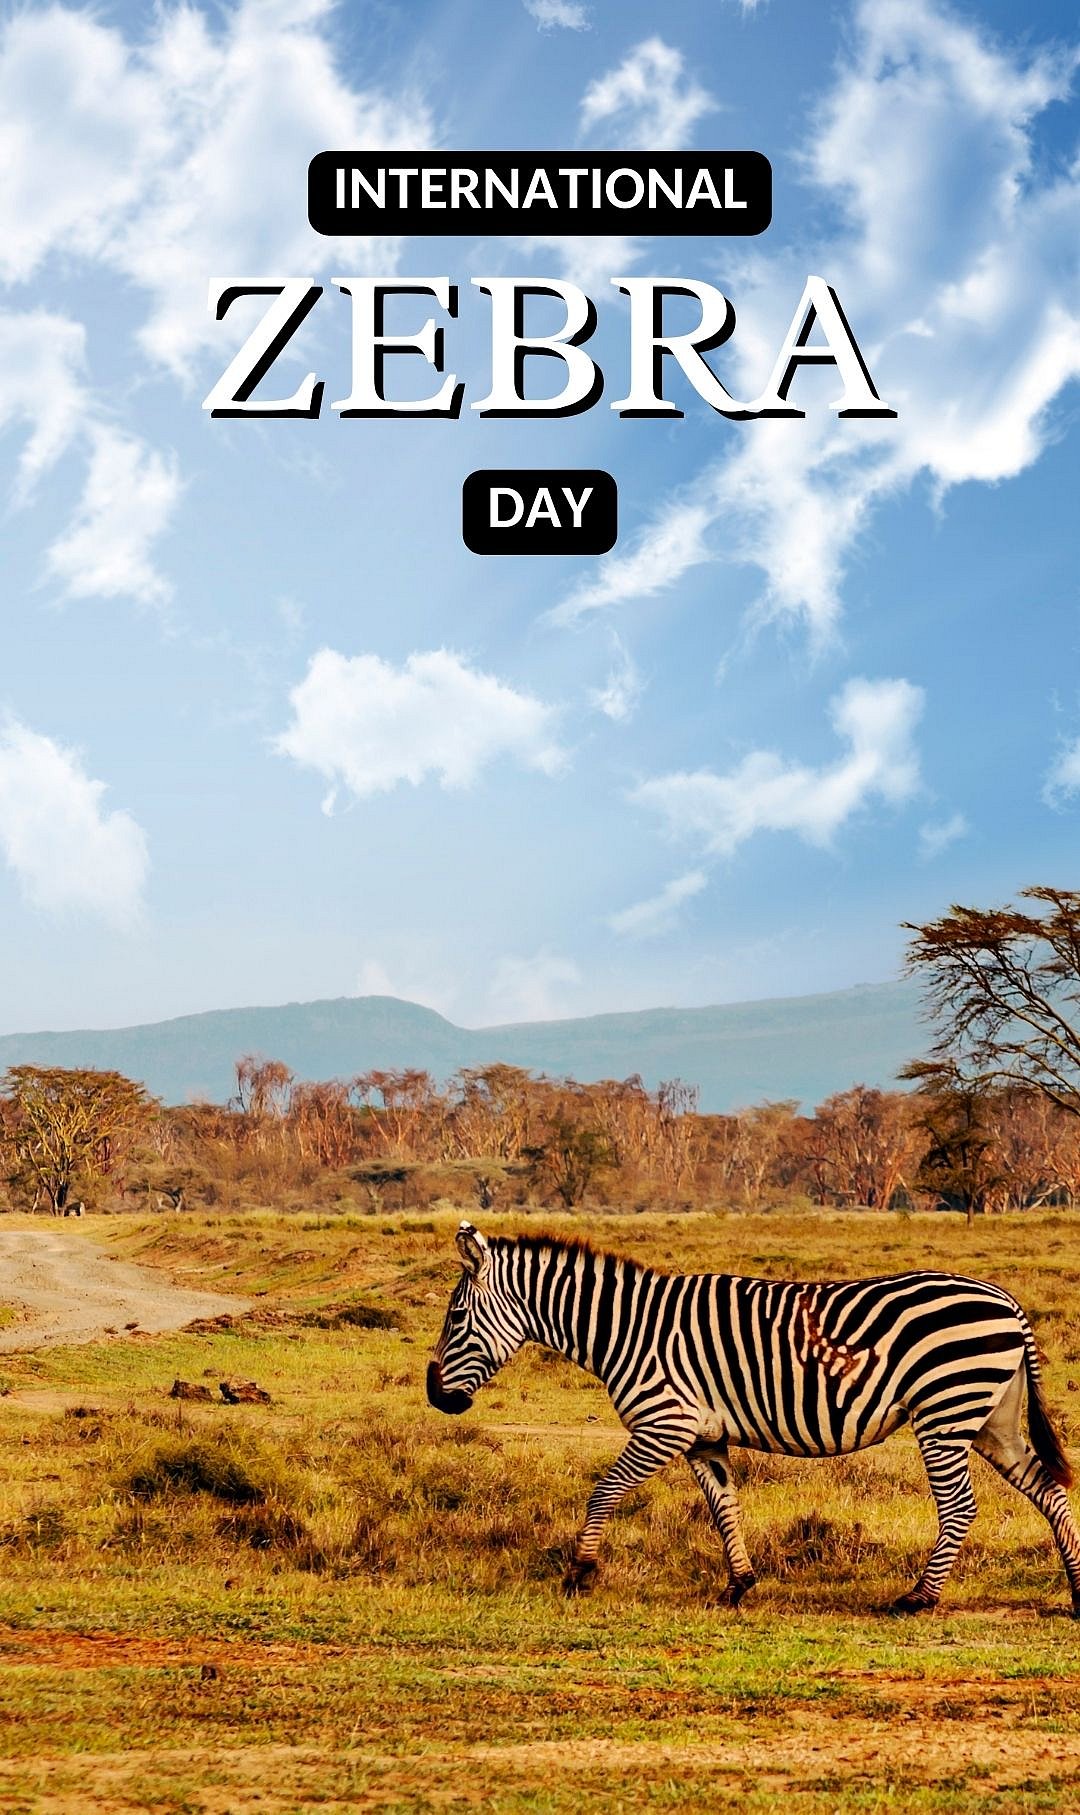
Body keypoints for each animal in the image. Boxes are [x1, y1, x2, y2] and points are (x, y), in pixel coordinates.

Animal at [427, 1222, 1080, 1614]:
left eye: (455, 1317)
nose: (436, 1397)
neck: (626, 1331)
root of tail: (1008, 1301)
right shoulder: (700, 1437)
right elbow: (725, 1507)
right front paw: (739, 1584)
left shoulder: (663, 1424)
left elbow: (604, 1491)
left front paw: (579, 1574)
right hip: (993, 1418)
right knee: (1049, 1491)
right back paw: (1075, 1591)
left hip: (946, 1412)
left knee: (960, 1507)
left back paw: (917, 1598)